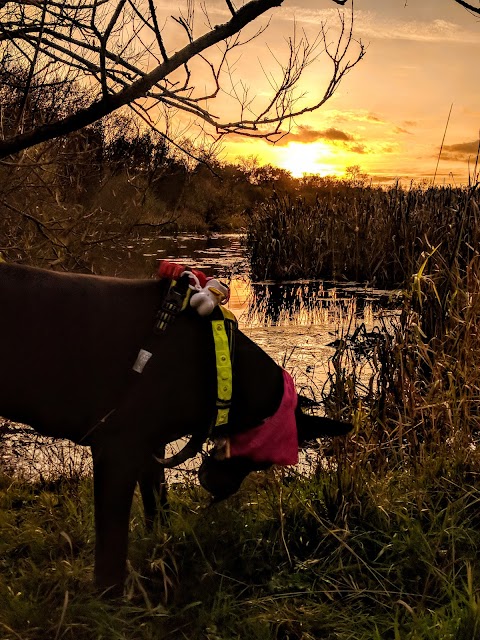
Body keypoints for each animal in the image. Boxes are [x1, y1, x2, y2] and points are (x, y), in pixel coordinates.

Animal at [0, 262, 352, 592]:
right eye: (263, 461)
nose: (219, 490)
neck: (221, 364)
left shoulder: (149, 449)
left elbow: (158, 510)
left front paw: (160, 556)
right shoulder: (116, 454)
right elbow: (111, 557)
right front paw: (110, 601)